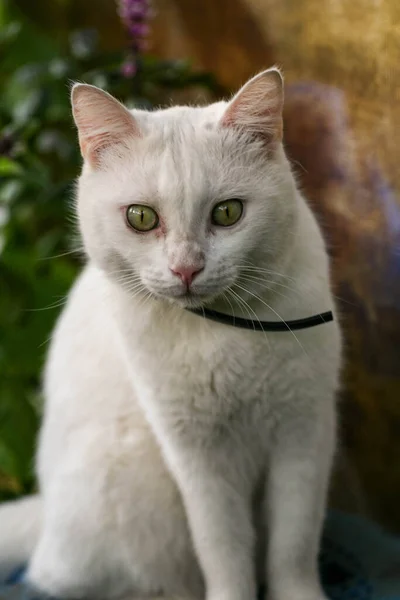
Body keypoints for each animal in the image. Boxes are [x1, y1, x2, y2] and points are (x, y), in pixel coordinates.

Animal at [0, 67, 340, 600]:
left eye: (227, 213)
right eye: (140, 217)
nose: (186, 269)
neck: (219, 332)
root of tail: (46, 514)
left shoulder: (304, 435)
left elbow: (293, 546)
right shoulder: (198, 457)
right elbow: (224, 549)